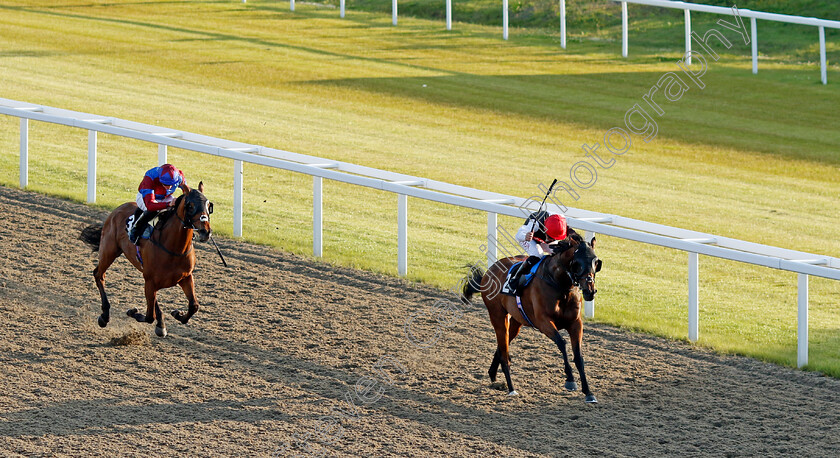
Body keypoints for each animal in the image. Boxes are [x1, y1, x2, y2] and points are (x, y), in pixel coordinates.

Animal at [79, 182, 213, 336]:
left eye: (208, 206)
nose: (205, 231)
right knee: (99, 275)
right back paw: (104, 316)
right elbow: (149, 316)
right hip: (109, 251)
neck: (174, 249)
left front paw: (176, 314)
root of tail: (117, 209)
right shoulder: (150, 280)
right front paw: (132, 312)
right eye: (190, 205)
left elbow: (194, 306)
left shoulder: (185, 277)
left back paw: (160, 324)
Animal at [462, 234, 600, 402]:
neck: (558, 283)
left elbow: (578, 356)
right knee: (504, 352)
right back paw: (511, 388)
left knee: (502, 346)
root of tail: (490, 270)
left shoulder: (575, 323)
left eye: (596, 262)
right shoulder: (543, 322)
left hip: (516, 322)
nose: (590, 291)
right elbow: (562, 343)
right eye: (577, 263)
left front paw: (588, 392)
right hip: (497, 316)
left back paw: (493, 374)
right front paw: (570, 380)